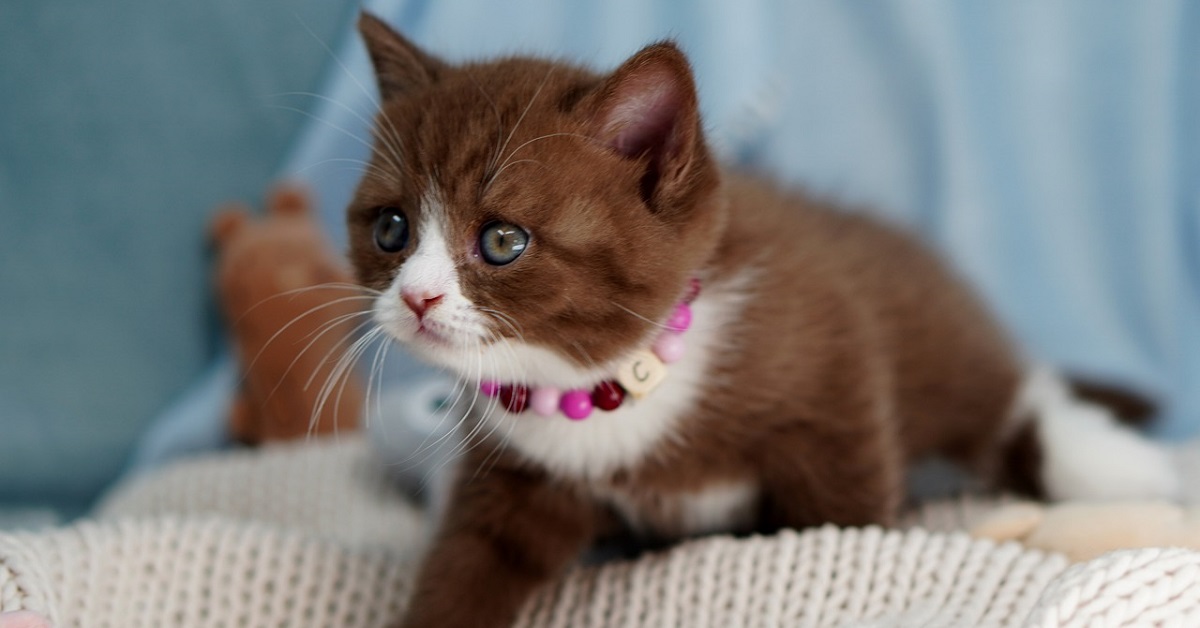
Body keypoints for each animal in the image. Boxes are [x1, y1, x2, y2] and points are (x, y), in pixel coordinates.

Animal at [345, 13, 1180, 628]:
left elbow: (842, 517)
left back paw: (1120, 464)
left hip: (941, 340)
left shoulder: (832, 373)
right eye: (390, 229)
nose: (416, 299)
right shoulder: (515, 471)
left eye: (502, 241)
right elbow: (474, 555)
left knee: (1014, 404)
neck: (609, 378)